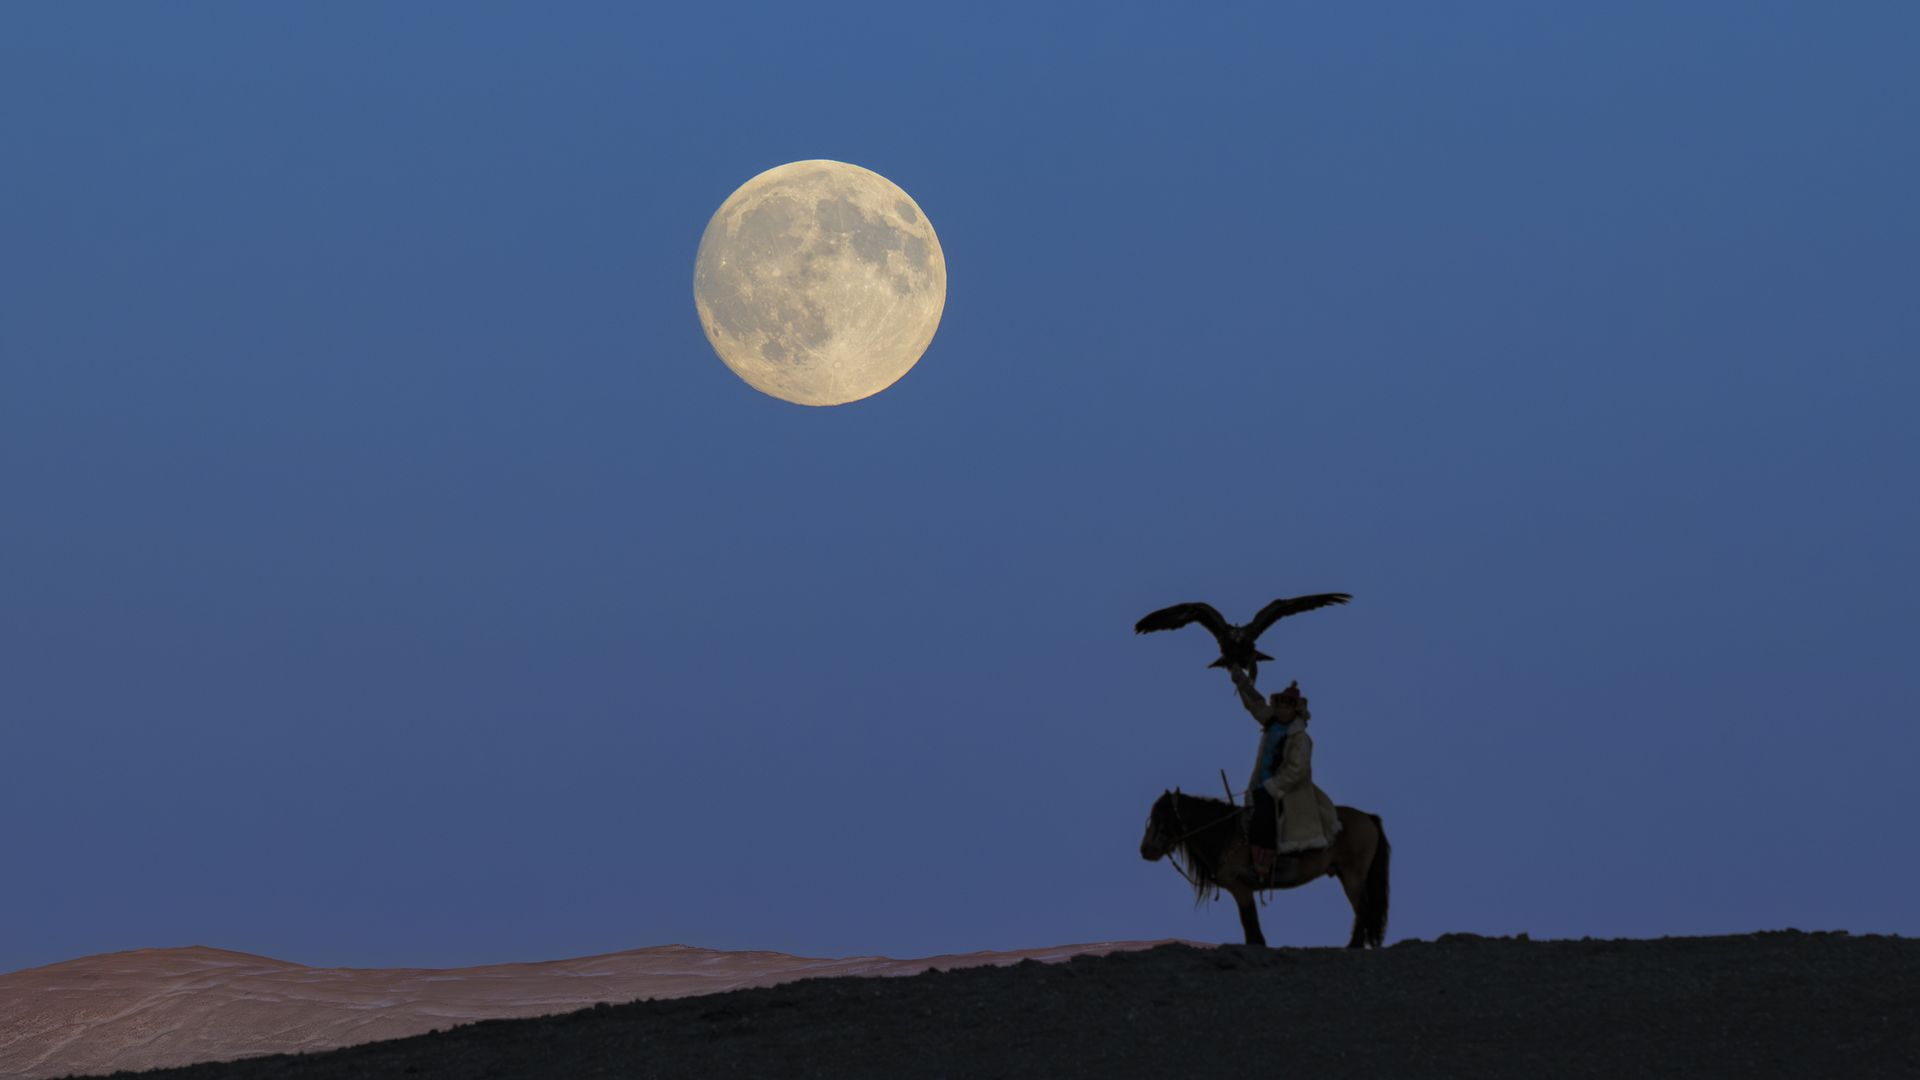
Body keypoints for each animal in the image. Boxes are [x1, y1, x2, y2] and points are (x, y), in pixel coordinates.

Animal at [1139, 789, 1391, 948]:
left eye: (1162, 816)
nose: (1145, 850)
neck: (1225, 833)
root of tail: (1368, 818)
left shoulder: (1240, 888)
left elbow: (1249, 922)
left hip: (1353, 875)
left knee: (1362, 908)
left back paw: (1353, 946)